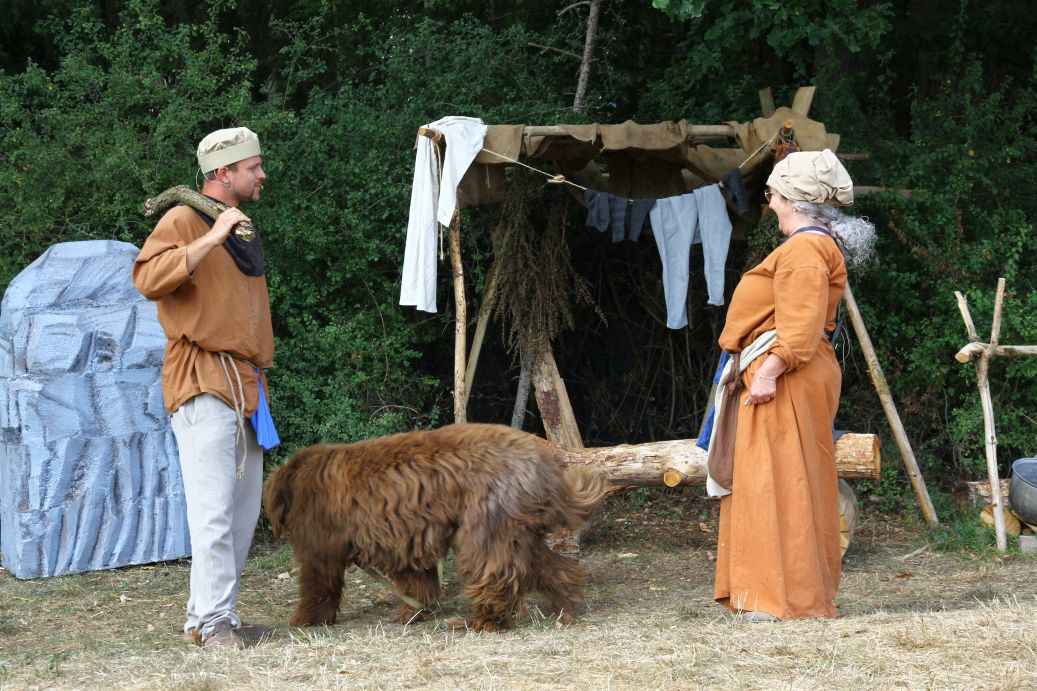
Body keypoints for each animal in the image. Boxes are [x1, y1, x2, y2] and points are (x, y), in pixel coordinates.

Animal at [263, 423, 606, 632]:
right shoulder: (405, 534)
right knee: (547, 564)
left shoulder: (321, 543)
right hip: (517, 527)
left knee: (495, 569)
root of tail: (544, 462)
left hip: (488, 520)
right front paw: (411, 613)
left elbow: (318, 582)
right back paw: (566, 603)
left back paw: (480, 621)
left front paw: (306, 619)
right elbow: (417, 577)